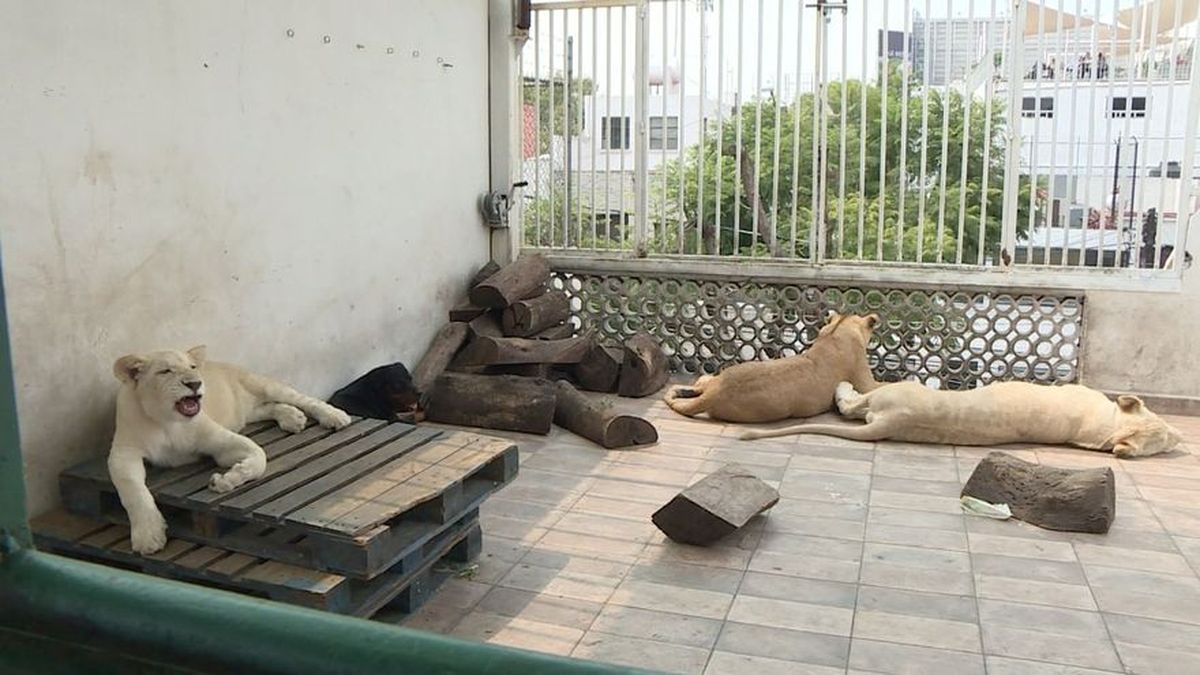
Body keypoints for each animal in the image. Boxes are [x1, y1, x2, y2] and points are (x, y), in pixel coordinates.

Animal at [108, 343, 352, 554]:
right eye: (165, 371)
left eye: (192, 367)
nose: (195, 383)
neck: (168, 422)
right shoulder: (123, 453)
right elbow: (133, 491)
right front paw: (148, 536)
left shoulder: (218, 439)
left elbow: (259, 456)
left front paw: (225, 481)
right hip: (246, 412)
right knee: (268, 408)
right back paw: (293, 418)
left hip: (265, 385)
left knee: (304, 399)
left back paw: (335, 416)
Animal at [667, 312, 883, 420]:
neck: (837, 331)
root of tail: (715, 392)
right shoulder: (865, 382)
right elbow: (881, 385)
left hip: (714, 378)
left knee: (699, 383)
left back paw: (682, 391)